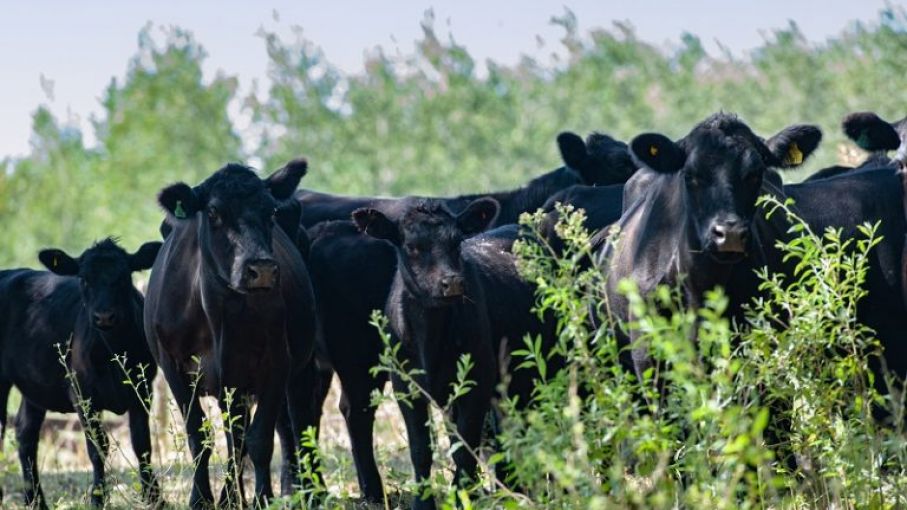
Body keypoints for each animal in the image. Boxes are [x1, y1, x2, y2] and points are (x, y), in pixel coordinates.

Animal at [0, 239, 161, 510]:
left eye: (123, 277)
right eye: (84, 279)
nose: (104, 316)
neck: (113, 350)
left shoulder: (142, 389)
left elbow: (142, 444)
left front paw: (154, 497)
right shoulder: (82, 394)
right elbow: (98, 447)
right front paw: (98, 499)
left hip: (35, 385)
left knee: (25, 433)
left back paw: (36, 501)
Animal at [145, 161, 320, 508]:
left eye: (270, 211)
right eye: (213, 212)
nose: (261, 269)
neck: (217, 316)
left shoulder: (276, 364)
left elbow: (260, 439)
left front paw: (262, 498)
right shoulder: (173, 367)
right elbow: (199, 436)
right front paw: (201, 499)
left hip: (290, 369)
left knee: (293, 423)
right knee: (234, 436)